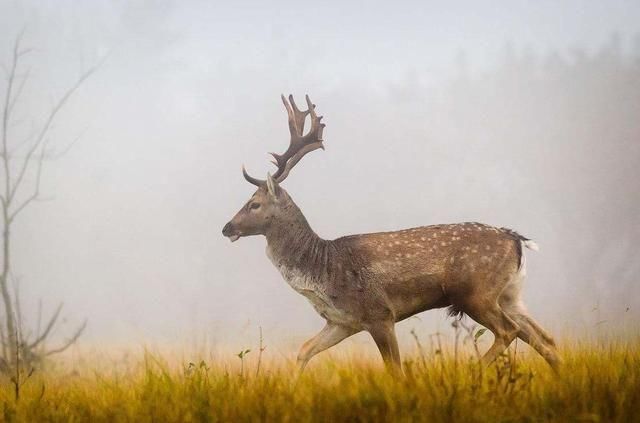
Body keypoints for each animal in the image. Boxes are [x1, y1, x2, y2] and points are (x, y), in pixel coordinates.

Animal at [221, 95, 560, 374]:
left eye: (254, 203)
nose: (227, 227)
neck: (322, 270)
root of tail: (517, 239)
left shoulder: (380, 313)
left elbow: (394, 370)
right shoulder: (342, 322)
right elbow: (304, 351)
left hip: (476, 293)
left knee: (509, 331)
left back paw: (470, 371)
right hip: (510, 295)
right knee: (546, 340)